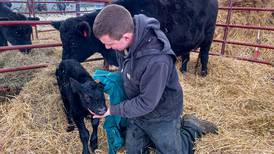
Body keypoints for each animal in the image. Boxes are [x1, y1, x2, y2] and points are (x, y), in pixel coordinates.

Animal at [52, 0, 218, 76]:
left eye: (74, 43)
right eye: (62, 42)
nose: (63, 64)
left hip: (209, 36)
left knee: (204, 55)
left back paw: (203, 72)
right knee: (186, 55)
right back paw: (183, 70)